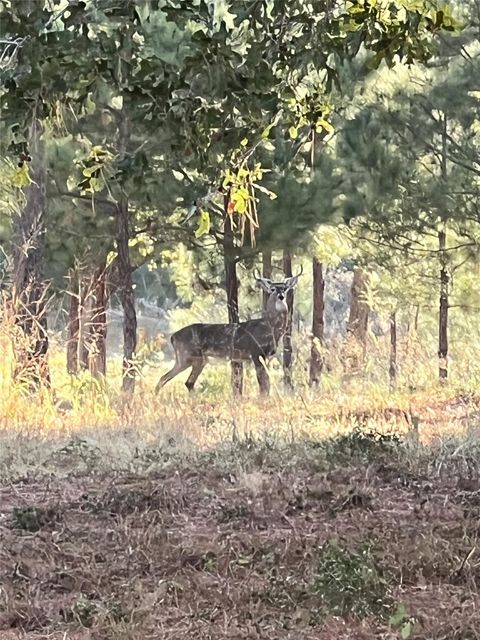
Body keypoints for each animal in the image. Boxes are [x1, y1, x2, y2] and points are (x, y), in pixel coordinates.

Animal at [156, 264, 302, 396]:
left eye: (285, 288)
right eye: (272, 289)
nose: (281, 296)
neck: (269, 327)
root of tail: (173, 337)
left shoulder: (264, 356)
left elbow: (266, 383)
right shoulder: (255, 352)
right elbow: (263, 384)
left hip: (197, 360)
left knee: (182, 381)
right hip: (187, 356)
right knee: (170, 379)